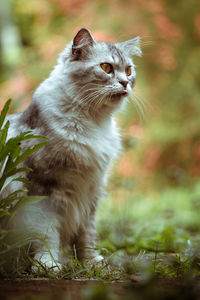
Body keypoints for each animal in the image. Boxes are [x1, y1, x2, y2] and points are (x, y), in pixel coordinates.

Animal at [0, 27, 141, 268]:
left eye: (129, 70)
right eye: (106, 67)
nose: (125, 83)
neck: (93, 121)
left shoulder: (91, 189)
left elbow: (87, 234)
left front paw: (91, 262)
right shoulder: (43, 186)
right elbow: (46, 232)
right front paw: (48, 263)